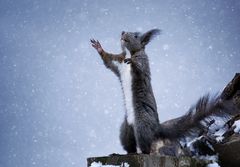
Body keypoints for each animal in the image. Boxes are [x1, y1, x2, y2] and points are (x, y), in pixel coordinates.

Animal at [90, 29, 240, 155]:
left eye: (136, 36)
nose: (122, 32)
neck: (128, 53)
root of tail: (156, 128)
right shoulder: (119, 62)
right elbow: (109, 62)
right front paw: (99, 48)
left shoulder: (142, 60)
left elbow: (139, 67)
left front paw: (132, 62)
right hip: (125, 130)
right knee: (129, 144)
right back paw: (125, 153)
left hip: (142, 125)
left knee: (145, 145)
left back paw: (143, 153)